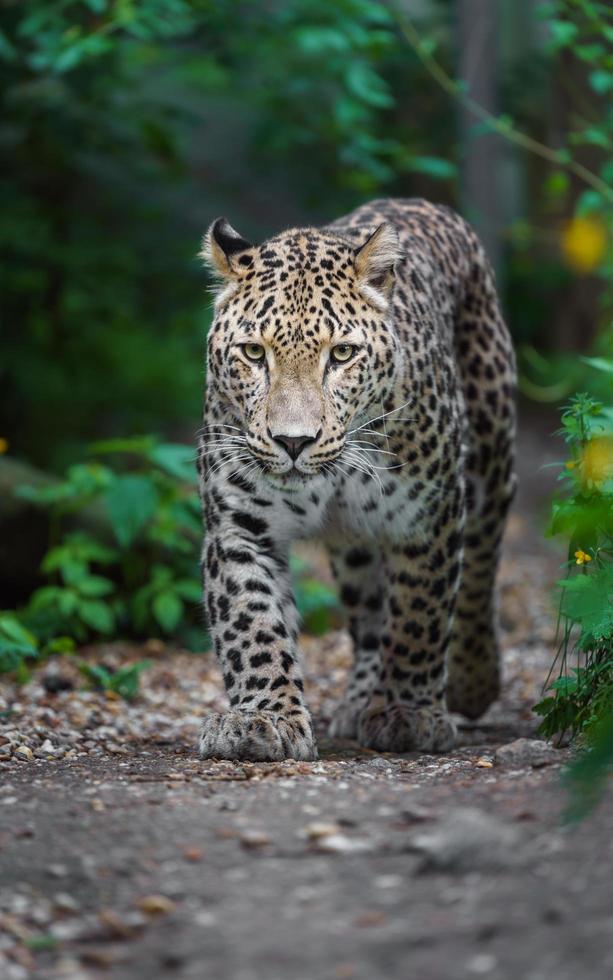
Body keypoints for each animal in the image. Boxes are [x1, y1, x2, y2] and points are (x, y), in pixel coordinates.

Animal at [195, 199, 512, 760]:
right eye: (254, 353)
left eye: (341, 355)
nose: (293, 441)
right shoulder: (240, 526)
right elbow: (253, 623)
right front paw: (263, 718)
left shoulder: (426, 518)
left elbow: (421, 613)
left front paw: (410, 712)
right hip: (356, 544)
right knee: (368, 615)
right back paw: (362, 696)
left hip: (490, 457)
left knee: (478, 568)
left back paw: (471, 680)